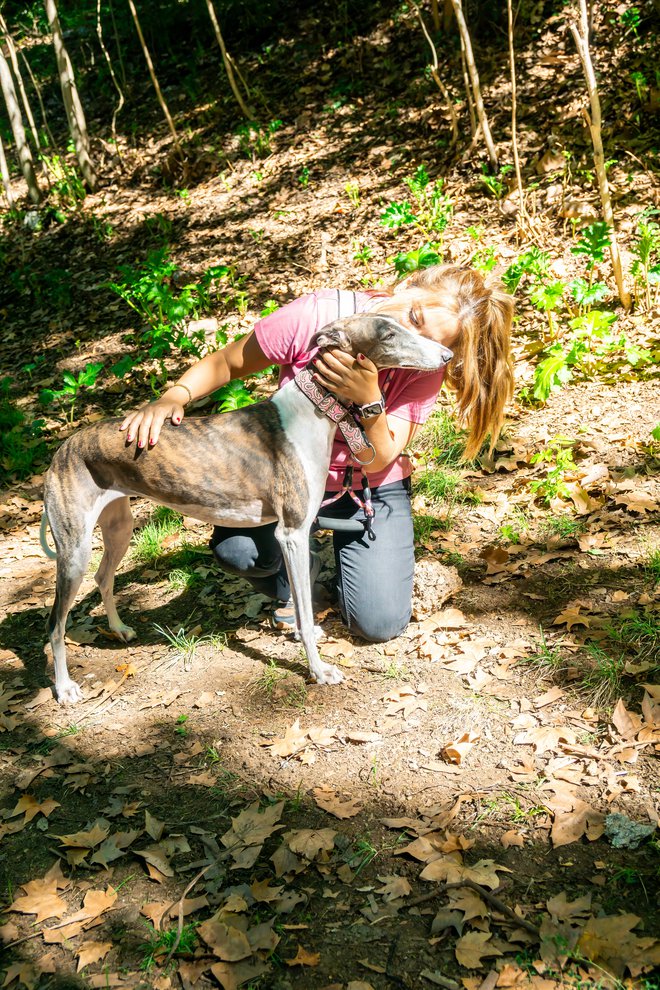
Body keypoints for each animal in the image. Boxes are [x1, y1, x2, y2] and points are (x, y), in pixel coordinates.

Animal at [41, 318, 452, 704]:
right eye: (387, 334)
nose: (448, 356)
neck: (311, 411)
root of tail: (63, 448)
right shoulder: (292, 532)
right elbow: (304, 613)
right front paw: (318, 670)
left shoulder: (295, 533)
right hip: (74, 552)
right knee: (55, 624)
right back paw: (64, 687)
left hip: (119, 528)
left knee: (103, 578)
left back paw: (119, 628)